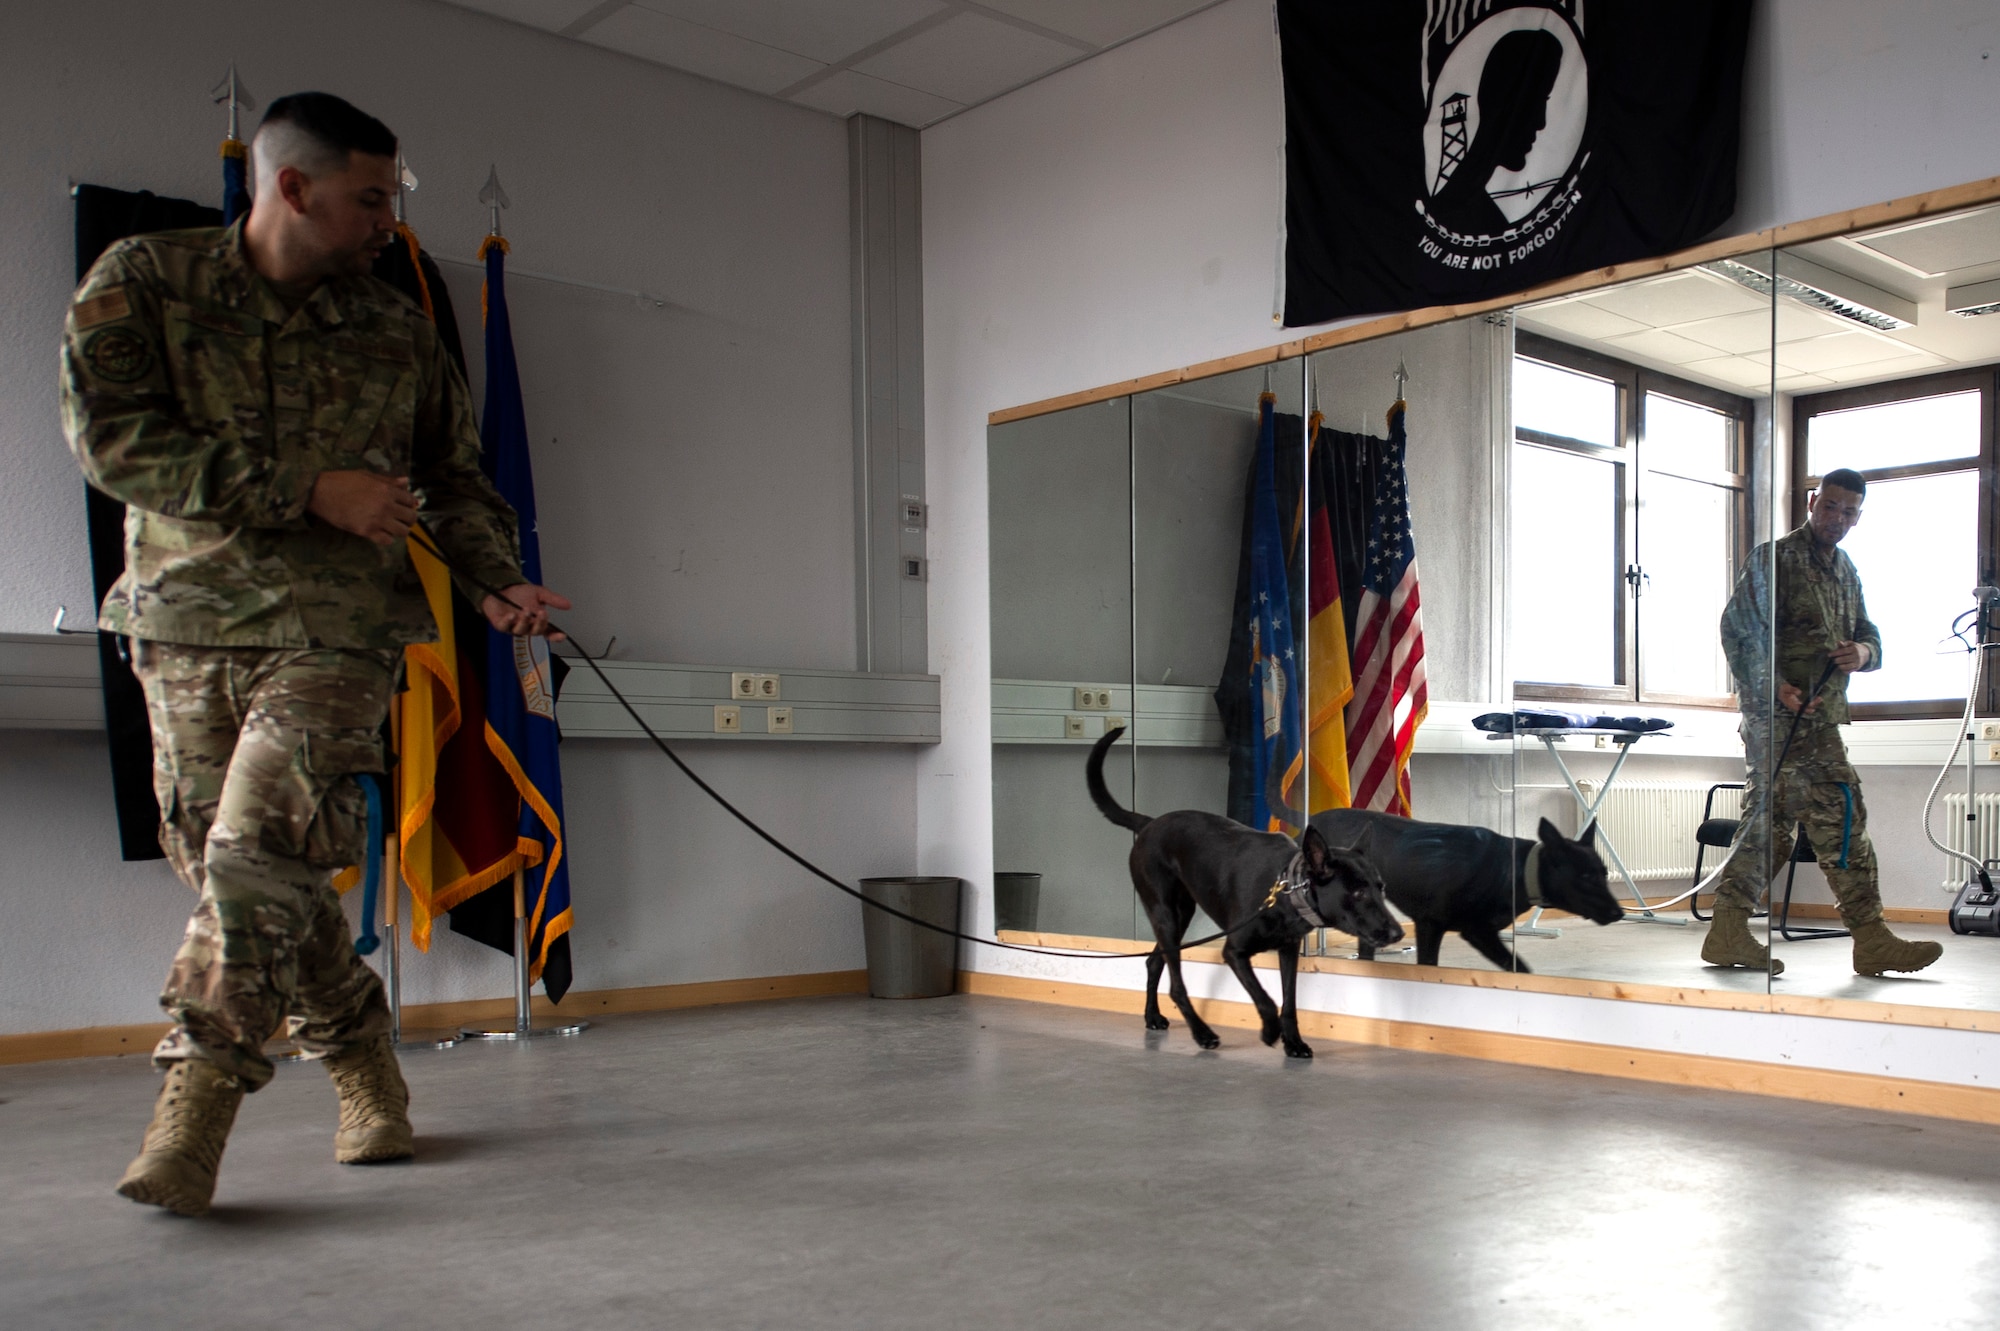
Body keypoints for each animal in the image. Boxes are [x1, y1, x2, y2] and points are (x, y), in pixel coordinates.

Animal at [1088, 727, 1400, 1055]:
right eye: (1358, 893)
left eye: (1381, 888)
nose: (1397, 933)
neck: (1287, 891)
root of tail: (1149, 824)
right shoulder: (1234, 952)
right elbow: (1267, 999)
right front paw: (1270, 1031)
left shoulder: (1289, 950)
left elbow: (1289, 1001)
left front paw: (1294, 1042)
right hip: (1165, 914)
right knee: (1176, 985)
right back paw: (1202, 1033)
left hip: (1180, 915)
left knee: (1153, 962)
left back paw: (1152, 1016)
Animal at [1312, 803, 1624, 971]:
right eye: (1586, 876)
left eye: (1603, 873)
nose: (1619, 912)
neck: (1514, 872)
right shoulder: (1432, 926)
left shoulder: (1480, 933)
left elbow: (1521, 969)